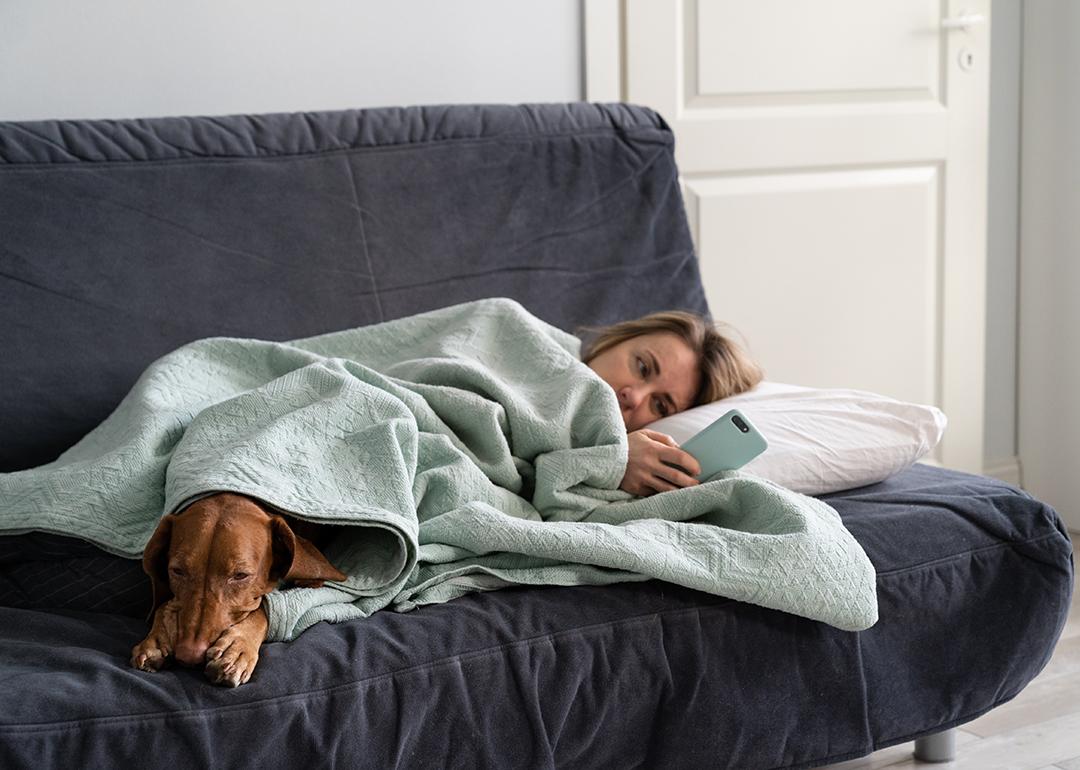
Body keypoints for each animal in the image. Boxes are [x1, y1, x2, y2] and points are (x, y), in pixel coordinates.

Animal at [129, 492, 345, 686]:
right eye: (177, 571)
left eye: (240, 575)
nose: (189, 656)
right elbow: (163, 604)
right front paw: (158, 637)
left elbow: (263, 607)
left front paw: (237, 648)